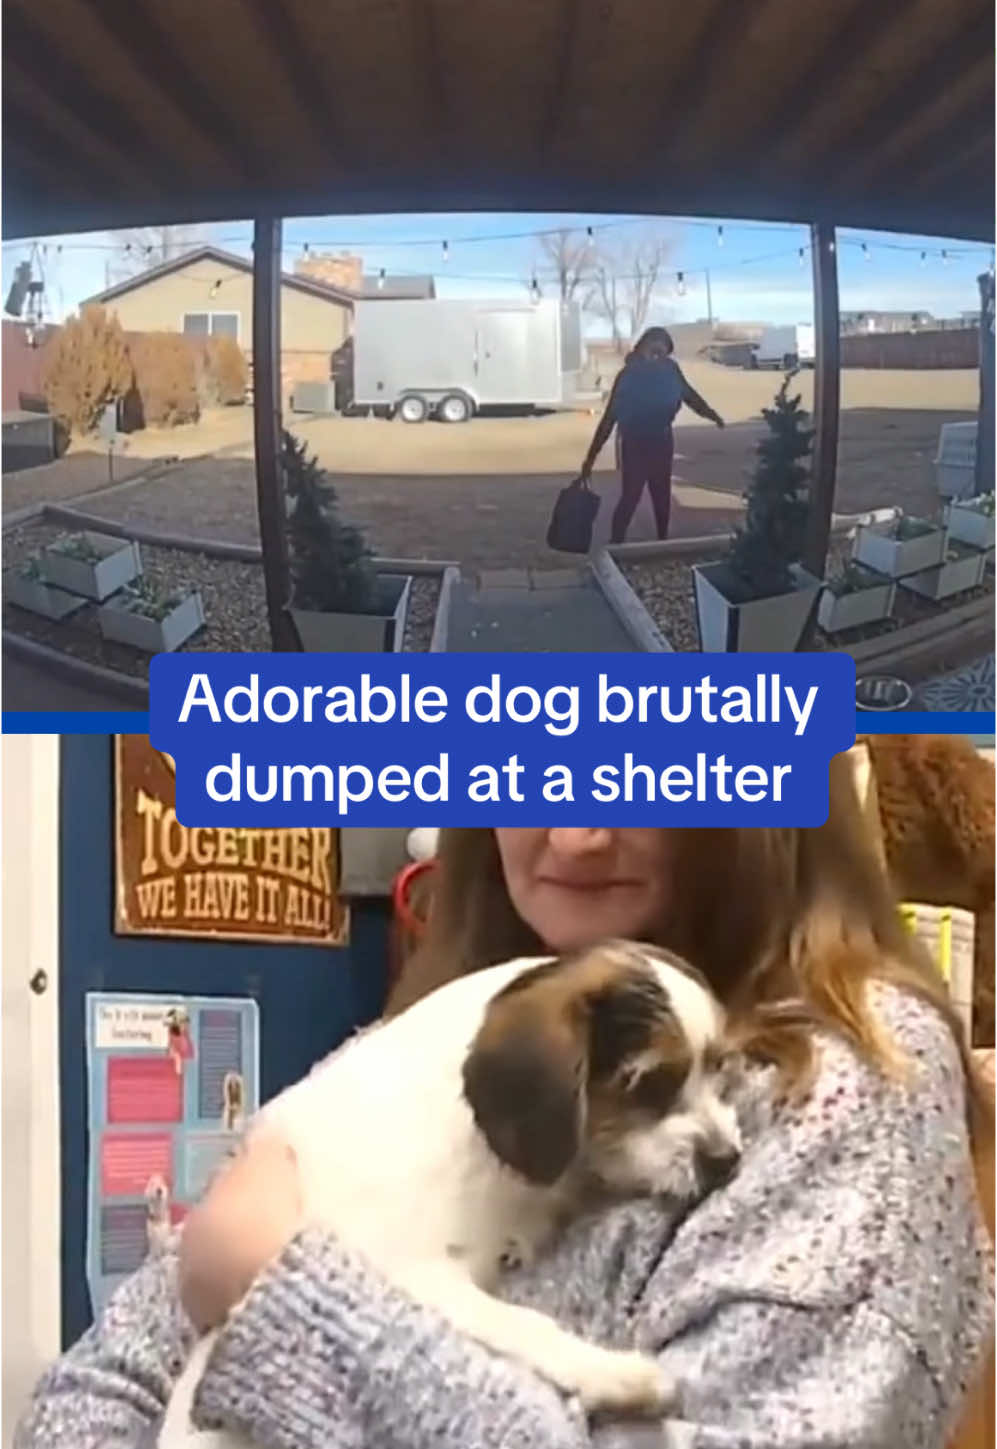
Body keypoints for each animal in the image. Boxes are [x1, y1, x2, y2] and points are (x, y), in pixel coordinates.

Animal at [159, 938, 739, 1449]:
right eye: (646, 1084)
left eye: (719, 1068)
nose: (728, 1159)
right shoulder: (414, 1272)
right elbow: (522, 1324)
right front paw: (616, 1374)